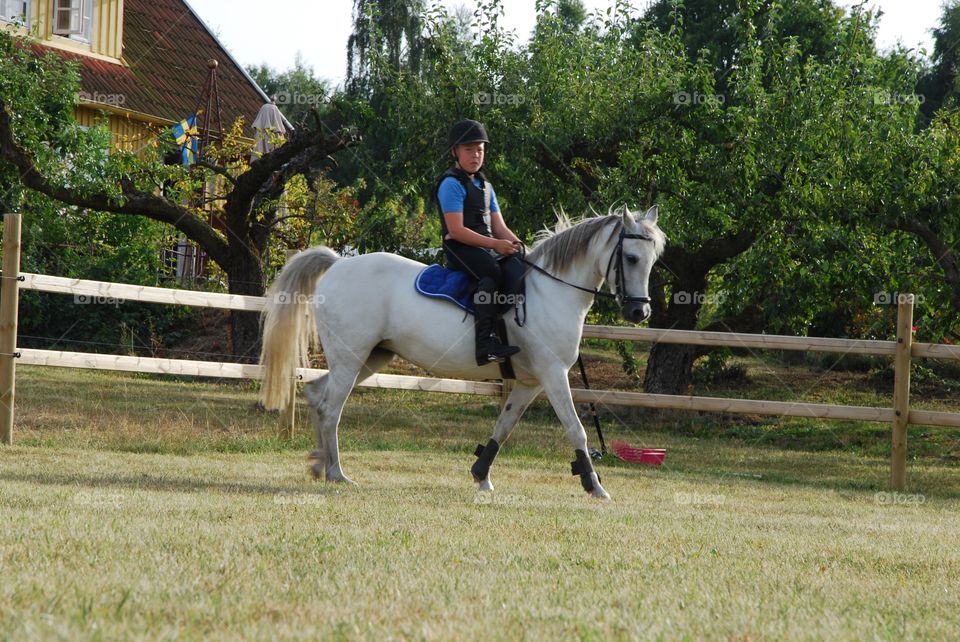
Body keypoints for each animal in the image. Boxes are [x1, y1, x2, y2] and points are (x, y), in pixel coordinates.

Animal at [259, 205, 666, 499]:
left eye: (651, 260)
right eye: (630, 258)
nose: (640, 313)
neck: (551, 290)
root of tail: (340, 263)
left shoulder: (530, 382)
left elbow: (503, 427)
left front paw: (481, 476)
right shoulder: (553, 375)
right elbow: (576, 430)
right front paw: (594, 485)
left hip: (371, 357)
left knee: (316, 394)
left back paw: (318, 463)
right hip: (351, 359)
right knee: (331, 409)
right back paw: (336, 473)